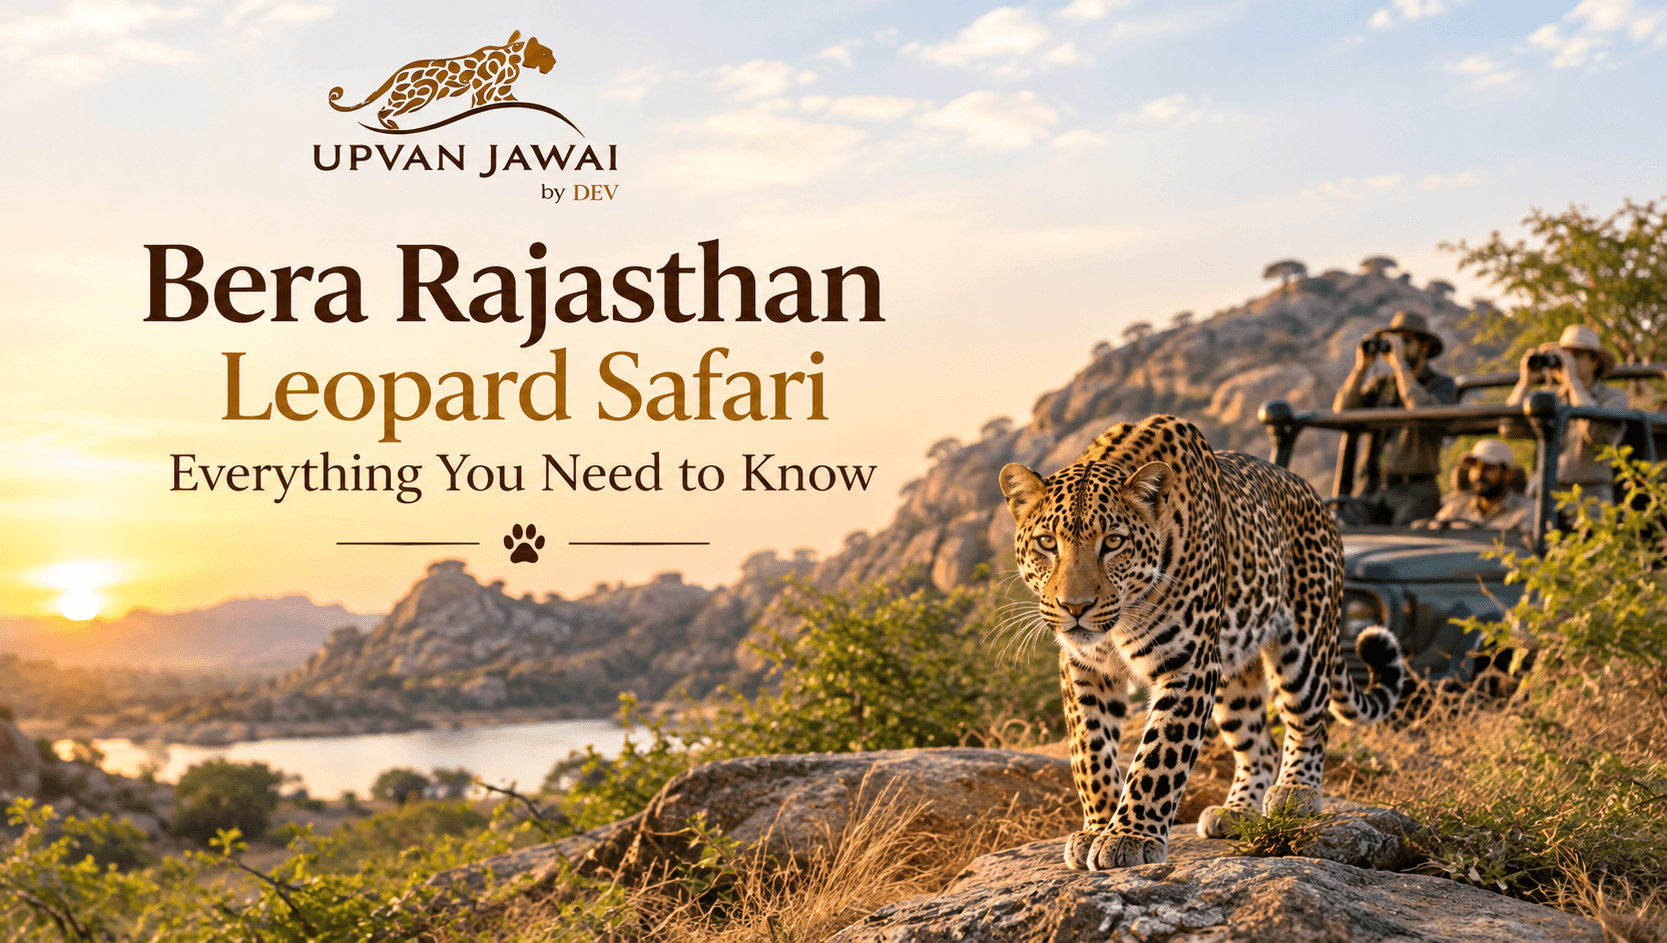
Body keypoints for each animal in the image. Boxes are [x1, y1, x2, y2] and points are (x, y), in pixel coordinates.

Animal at [328, 30, 557, 130]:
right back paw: (393, 126)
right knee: (383, 110)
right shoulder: (482, 88)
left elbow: (510, 100)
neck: (515, 57)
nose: (555, 62)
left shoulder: (503, 90)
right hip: (416, 95)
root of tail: (401, 71)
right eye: (545, 54)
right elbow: (480, 103)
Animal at [998, 415, 1407, 870]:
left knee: (1310, 722)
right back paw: (1237, 811)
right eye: (1047, 543)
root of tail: (1317, 499)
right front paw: (1096, 828)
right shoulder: (1085, 668)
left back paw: (1294, 793)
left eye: (1114, 542)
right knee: (1259, 745)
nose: (1075, 607)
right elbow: (1090, 752)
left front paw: (1129, 836)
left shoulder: (1189, 665)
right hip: (1234, 671)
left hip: (1306, 641)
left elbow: (1159, 756)